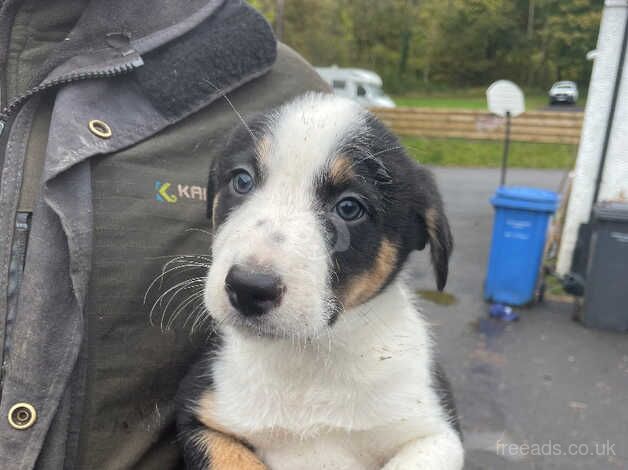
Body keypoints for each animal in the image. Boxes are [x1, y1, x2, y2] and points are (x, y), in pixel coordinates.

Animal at [175, 92, 462, 470]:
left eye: (350, 208)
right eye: (242, 181)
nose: (248, 289)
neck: (308, 359)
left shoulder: (435, 434)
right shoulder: (201, 416)